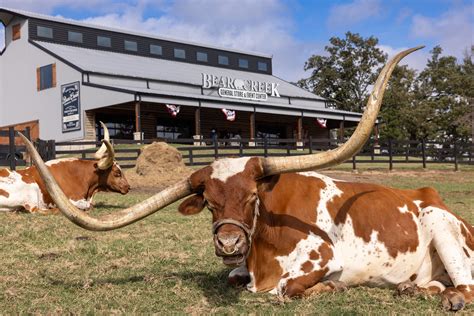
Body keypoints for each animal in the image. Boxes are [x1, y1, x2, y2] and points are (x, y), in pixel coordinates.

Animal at [0, 122, 129, 214]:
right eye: (117, 173)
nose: (128, 187)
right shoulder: (71, 198)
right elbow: (88, 205)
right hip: (32, 189)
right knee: (36, 210)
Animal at [19, 47, 474, 312]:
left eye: (254, 196)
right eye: (209, 202)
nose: (229, 243)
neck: (264, 248)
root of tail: (437, 198)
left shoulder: (328, 260)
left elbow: (283, 290)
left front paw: (332, 290)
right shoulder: (241, 268)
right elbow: (235, 278)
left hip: (444, 232)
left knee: (466, 287)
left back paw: (448, 297)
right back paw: (416, 290)